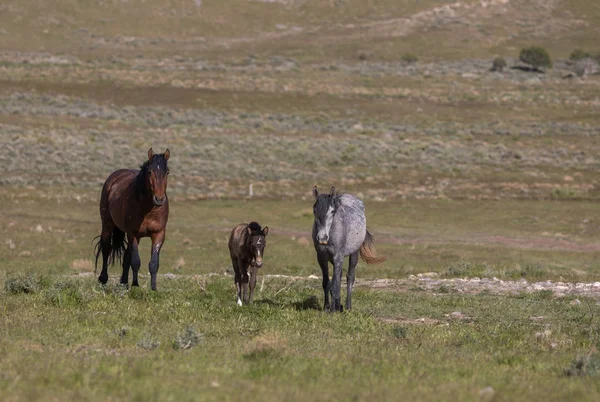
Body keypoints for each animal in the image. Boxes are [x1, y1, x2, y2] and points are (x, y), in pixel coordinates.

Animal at [94, 147, 170, 288]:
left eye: (167, 172)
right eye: (150, 172)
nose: (159, 199)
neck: (148, 210)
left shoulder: (158, 234)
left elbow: (153, 263)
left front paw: (153, 288)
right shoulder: (133, 233)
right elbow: (136, 261)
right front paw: (135, 286)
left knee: (126, 257)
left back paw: (124, 282)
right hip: (107, 225)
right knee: (106, 248)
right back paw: (103, 279)